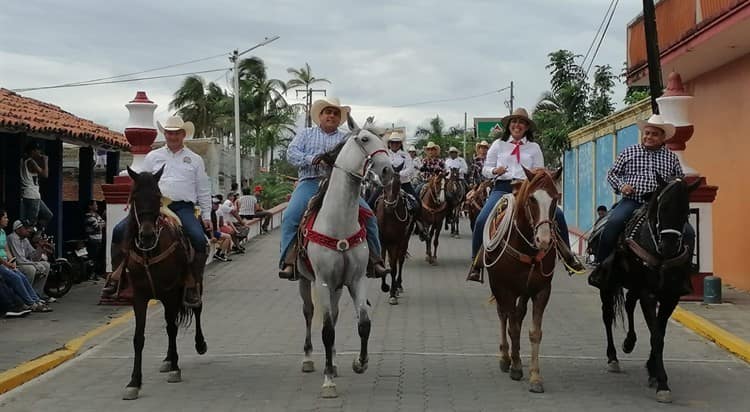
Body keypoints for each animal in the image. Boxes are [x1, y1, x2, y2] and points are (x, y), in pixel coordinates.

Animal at [298, 116, 396, 400]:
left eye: (384, 140)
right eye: (364, 139)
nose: (388, 171)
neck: (338, 223)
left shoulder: (356, 280)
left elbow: (363, 323)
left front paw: (359, 363)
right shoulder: (322, 281)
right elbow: (327, 330)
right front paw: (328, 382)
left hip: (338, 287)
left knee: (336, 314)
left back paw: (334, 363)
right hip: (306, 282)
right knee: (309, 313)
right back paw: (309, 359)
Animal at [376, 168, 418, 306]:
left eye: (398, 183)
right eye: (384, 183)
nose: (389, 205)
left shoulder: (396, 242)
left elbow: (394, 267)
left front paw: (392, 293)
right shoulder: (382, 242)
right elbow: (383, 263)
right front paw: (384, 286)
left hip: (404, 241)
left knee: (400, 260)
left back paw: (398, 285)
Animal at [482, 167, 564, 392]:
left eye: (555, 199)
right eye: (532, 199)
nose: (543, 240)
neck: (526, 246)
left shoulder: (541, 291)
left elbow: (534, 332)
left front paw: (535, 377)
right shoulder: (506, 290)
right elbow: (513, 328)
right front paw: (516, 366)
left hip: (524, 292)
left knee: (518, 314)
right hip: (498, 288)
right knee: (503, 316)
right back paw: (505, 357)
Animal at [592, 175, 704, 404]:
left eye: (686, 210)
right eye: (662, 207)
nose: (668, 246)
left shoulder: (670, 296)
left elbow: (660, 332)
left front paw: (653, 370)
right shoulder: (648, 294)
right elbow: (656, 336)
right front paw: (662, 383)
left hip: (634, 285)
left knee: (629, 304)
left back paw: (629, 342)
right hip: (608, 285)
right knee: (607, 316)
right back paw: (613, 357)